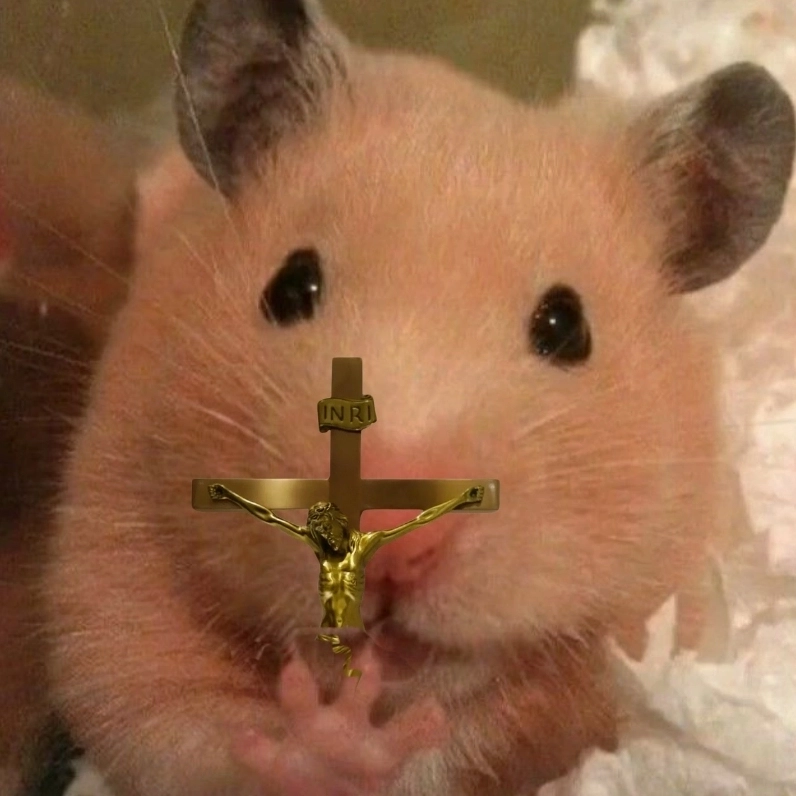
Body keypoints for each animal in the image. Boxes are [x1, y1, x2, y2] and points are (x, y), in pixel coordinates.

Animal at [40, 1, 796, 795]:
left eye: (567, 328)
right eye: (289, 286)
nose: (387, 536)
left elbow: (466, 746)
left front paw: (360, 735)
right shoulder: (113, 583)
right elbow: (194, 737)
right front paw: (331, 736)